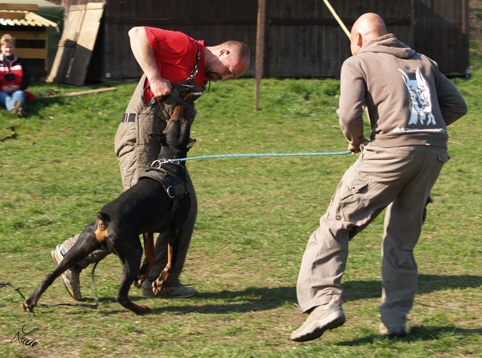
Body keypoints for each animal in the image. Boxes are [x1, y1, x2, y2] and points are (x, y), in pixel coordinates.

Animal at [22, 105, 196, 314]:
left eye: (174, 120)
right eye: (180, 121)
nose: (181, 106)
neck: (170, 164)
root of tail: (104, 219)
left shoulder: (147, 230)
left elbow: (152, 255)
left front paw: (143, 278)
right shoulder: (176, 228)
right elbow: (170, 260)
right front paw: (160, 282)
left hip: (83, 245)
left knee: (50, 275)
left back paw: (30, 301)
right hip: (132, 253)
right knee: (120, 295)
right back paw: (141, 309)